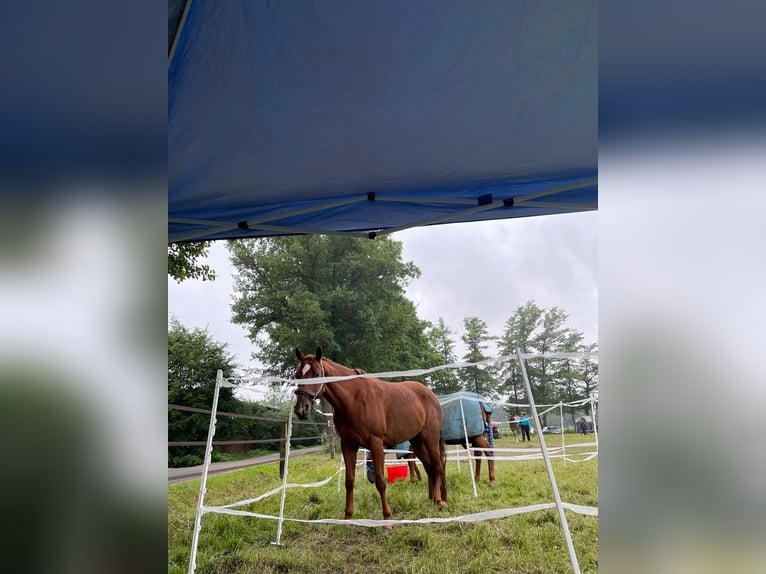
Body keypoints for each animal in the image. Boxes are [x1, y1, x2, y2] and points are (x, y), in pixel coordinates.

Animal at [293, 347, 447, 529]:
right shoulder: (348, 445)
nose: (301, 409)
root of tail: (432, 395)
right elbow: (349, 481)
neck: (355, 399)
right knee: (430, 468)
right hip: (417, 442)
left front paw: (387, 521)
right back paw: (431, 500)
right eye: (297, 375)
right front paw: (347, 519)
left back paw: (439, 500)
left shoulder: (376, 444)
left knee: (437, 467)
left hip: (430, 438)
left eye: (317, 374)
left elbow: (380, 482)